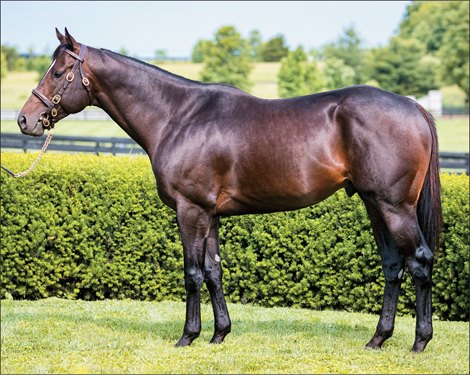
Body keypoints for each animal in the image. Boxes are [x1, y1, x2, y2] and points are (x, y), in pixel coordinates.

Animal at [15, 29, 440, 352]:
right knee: (393, 265)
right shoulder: (211, 214)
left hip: (394, 207)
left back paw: (419, 342)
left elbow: (192, 273)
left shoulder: (190, 210)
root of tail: (413, 106)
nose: (25, 120)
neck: (178, 116)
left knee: (419, 261)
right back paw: (378, 339)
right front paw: (219, 334)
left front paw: (188, 336)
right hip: (374, 204)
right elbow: (214, 271)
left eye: (59, 72)